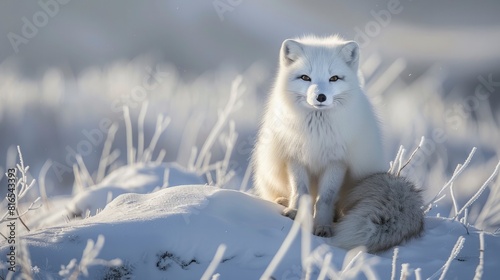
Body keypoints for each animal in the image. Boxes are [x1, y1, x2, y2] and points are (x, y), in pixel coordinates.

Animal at [254, 35, 422, 252]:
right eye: (305, 78)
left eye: (334, 78)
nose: (321, 97)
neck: (316, 130)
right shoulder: (295, 157)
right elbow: (300, 191)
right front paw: (296, 214)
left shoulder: (337, 162)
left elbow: (324, 199)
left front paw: (323, 227)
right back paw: (283, 201)